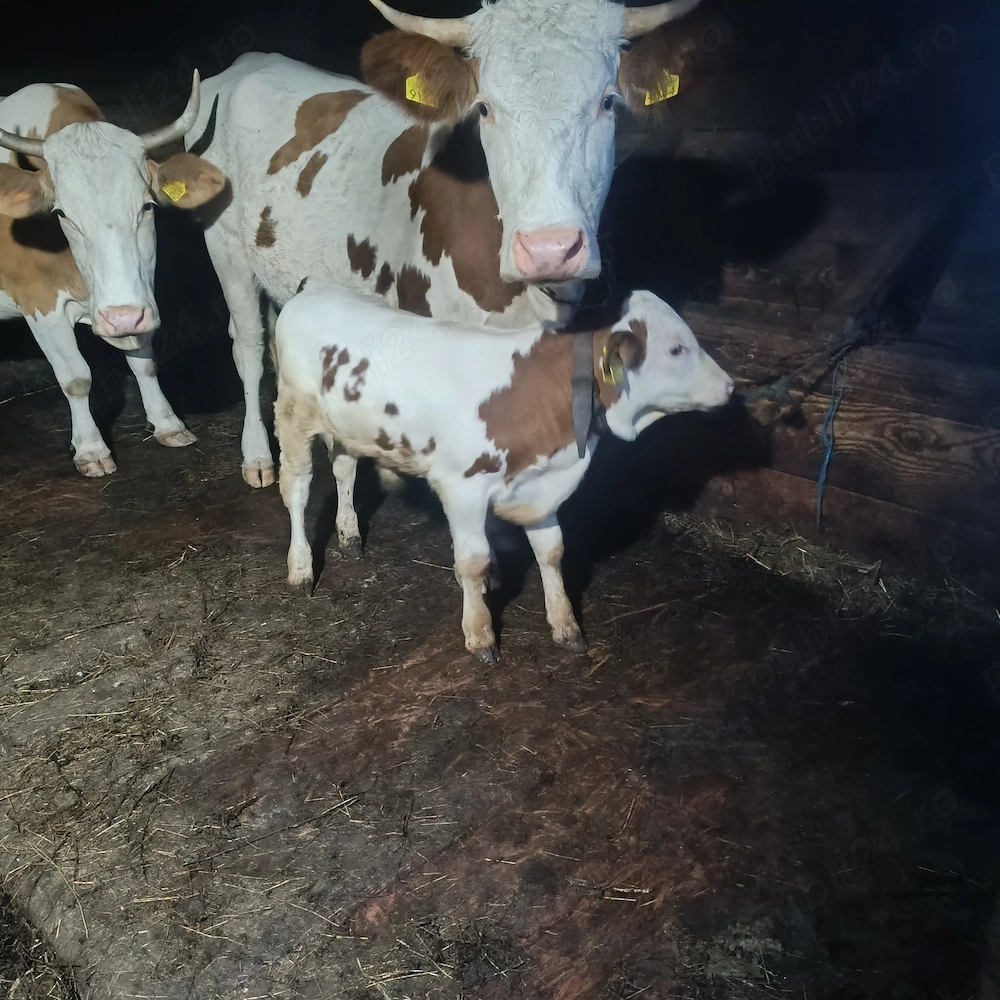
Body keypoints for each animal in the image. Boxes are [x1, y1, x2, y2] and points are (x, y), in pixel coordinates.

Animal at [0, 75, 225, 477]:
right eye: (61, 214)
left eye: (147, 206)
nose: (121, 318)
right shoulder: (39, 303)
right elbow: (76, 377)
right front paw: (90, 448)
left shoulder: (140, 295)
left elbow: (144, 362)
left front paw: (167, 423)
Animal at [183, 0, 704, 491]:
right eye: (485, 107)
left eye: (608, 101)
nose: (549, 248)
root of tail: (246, 64)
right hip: (224, 245)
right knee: (248, 345)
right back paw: (257, 455)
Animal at [273, 279, 734, 662]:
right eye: (675, 349)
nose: (730, 386)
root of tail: (314, 288)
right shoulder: (462, 488)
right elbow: (472, 560)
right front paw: (480, 633)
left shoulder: (539, 486)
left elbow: (552, 551)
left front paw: (565, 625)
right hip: (293, 416)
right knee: (297, 489)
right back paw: (300, 568)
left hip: (346, 427)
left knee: (344, 469)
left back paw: (349, 533)